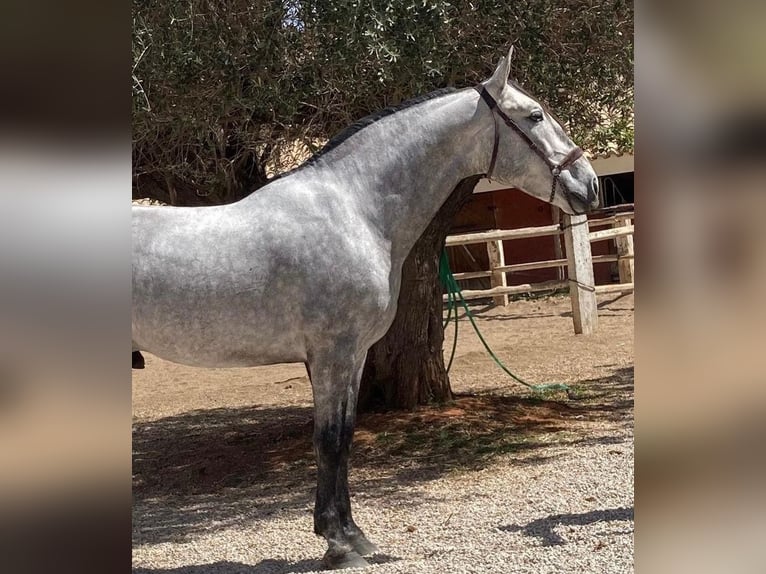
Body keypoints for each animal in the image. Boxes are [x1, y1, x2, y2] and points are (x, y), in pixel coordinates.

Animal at [132, 47, 600, 568]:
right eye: (535, 115)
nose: (590, 185)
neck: (355, 210)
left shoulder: (353, 356)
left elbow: (347, 436)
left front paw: (353, 535)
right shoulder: (332, 355)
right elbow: (329, 440)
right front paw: (337, 543)